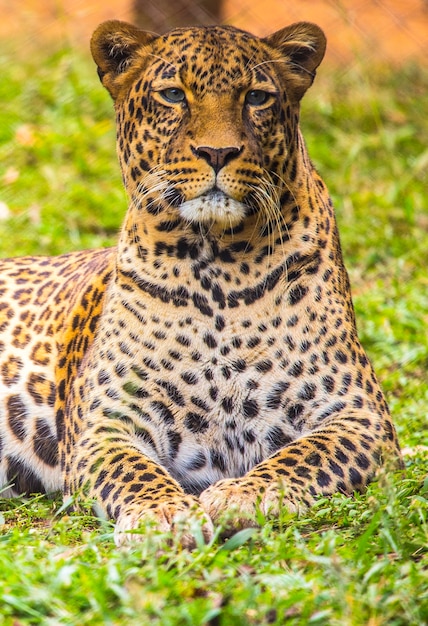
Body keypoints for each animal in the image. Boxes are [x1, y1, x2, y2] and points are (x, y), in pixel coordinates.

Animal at [0, 20, 402, 544]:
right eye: (174, 94)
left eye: (256, 97)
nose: (217, 152)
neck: (217, 267)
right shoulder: (108, 424)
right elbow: (133, 471)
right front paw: (164, 513)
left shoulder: (358, 414)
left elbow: (303, 456)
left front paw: (242, 495)